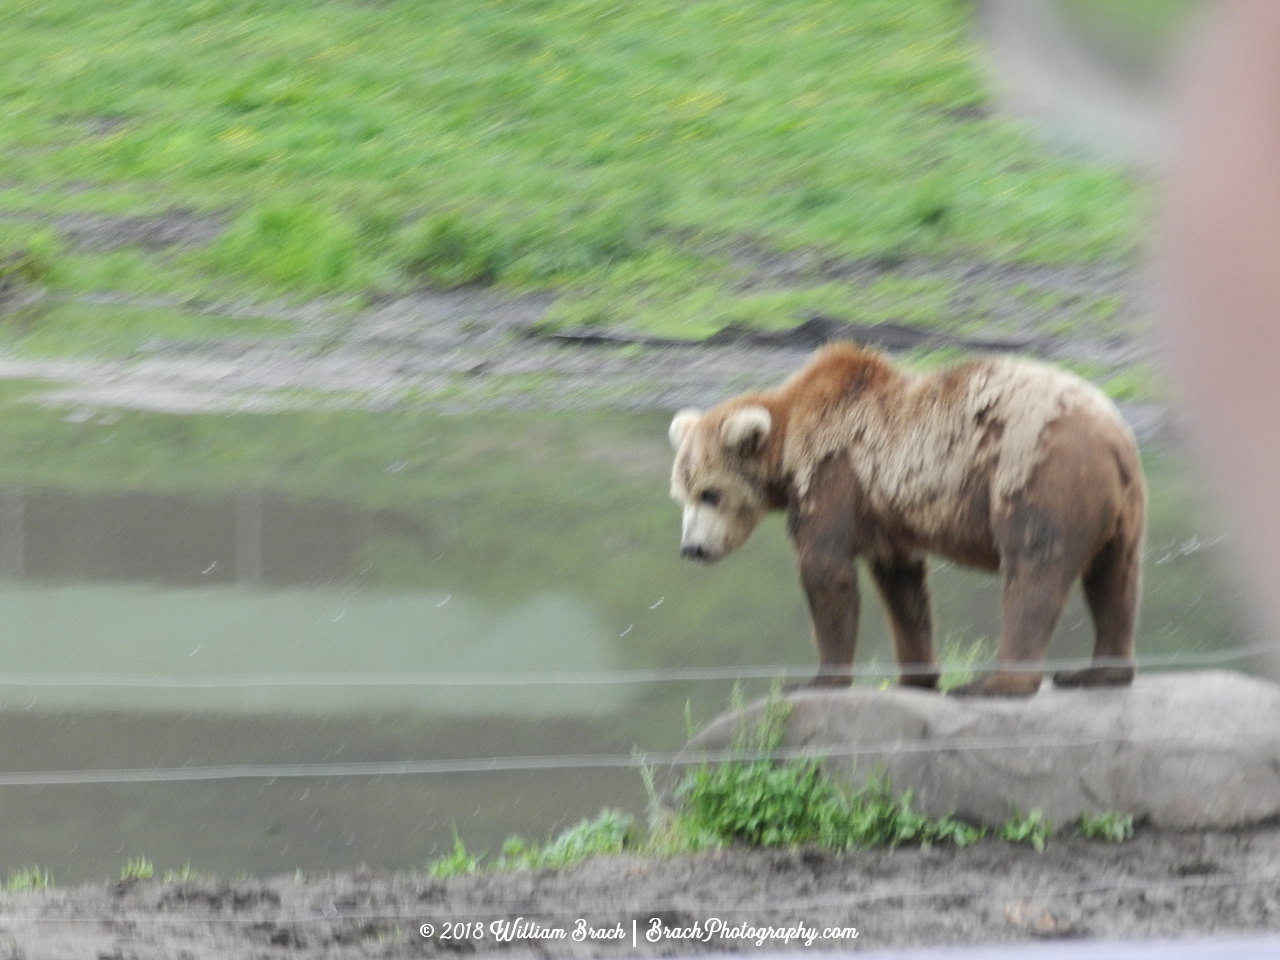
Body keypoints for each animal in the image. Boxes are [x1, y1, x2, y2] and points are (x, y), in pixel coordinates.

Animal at [675, 345, 1146, 701]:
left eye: (710, 493)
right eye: (681, 494)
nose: (691, 548)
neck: (787, 447)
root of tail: (1114, 437)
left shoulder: (833, 475)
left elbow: (825, 570)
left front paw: (816, 680)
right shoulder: (883, 512)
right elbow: (902, 587)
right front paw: (916, 677)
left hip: (1039, 475)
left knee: (1034, 568)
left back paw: (994, 683)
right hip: (1121, 508)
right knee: (1114, 578)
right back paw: (1098, 672)